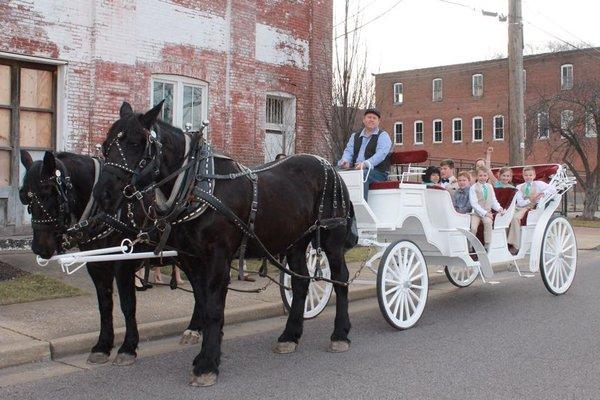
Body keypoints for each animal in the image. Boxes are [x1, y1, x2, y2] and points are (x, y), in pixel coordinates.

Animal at [18, 149, 202, 366]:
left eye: (49, 193)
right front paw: (102, 346)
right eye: (25, 197)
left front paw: (128, 347)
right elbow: (105, 305)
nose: (39, 247)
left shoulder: (123, 263)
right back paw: (194, 328)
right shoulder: (97, 265)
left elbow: (127, 304)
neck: (106, 212)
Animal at [95, 101, 356, 386]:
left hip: (332, 237)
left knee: (340, 279)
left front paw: (207, 363)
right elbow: (203, 300)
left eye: (135, 143)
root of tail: (329, 167)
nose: (102, 194)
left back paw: (340, 334)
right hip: (295, 242)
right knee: (300, 283)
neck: (195, 185)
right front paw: (208, 352)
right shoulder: (192, 258)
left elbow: (212, 307)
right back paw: (290, 336)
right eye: (106, 145)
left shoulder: (217, 255)